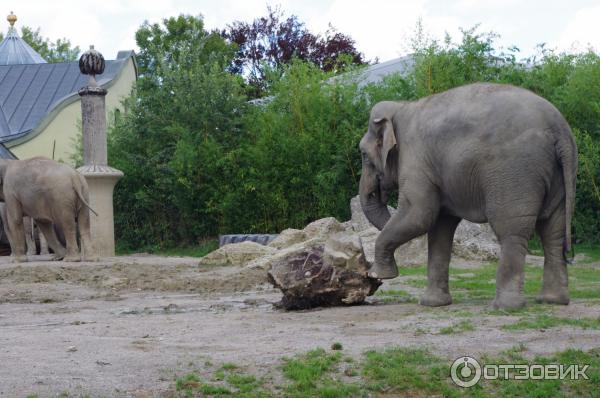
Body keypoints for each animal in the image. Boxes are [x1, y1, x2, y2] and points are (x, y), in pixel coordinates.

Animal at [360, 81, 576, 310]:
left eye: (363, 154)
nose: (370, 276)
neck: (401, 106)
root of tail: (560, 130)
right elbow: (440, 227)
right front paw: (433, 304)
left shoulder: (416, 158)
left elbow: (419, 215)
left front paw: (378, 274)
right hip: (560, 175)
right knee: (553, 231)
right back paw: (553, 301)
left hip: (515, 173)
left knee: (512, 230)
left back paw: (506, 307)